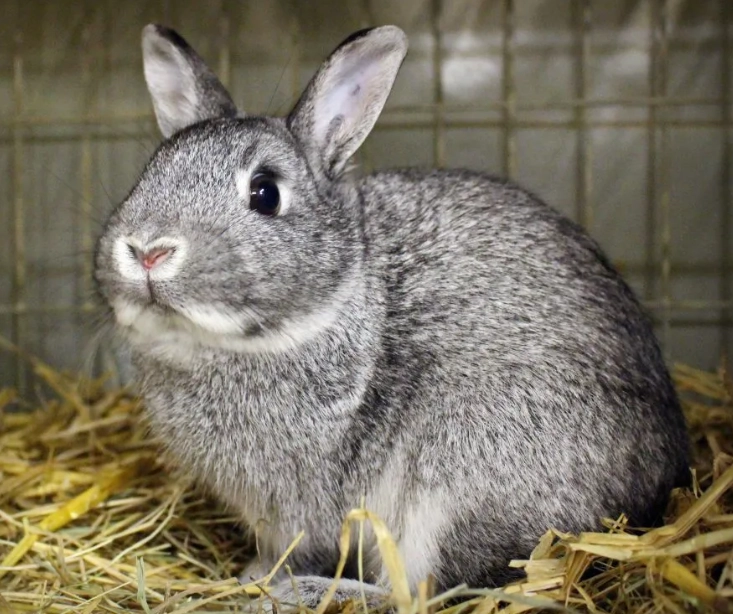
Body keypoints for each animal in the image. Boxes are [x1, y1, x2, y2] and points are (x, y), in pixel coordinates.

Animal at [93, 23, 691, 613]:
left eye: (265, 193)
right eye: (149, 171)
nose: (148, 251)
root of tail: (655, 494)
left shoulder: (304, 506)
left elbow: (304, 548)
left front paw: (261, 580)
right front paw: (251, 575)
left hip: (461, 477)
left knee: (428, 590)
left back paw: (309, 593)